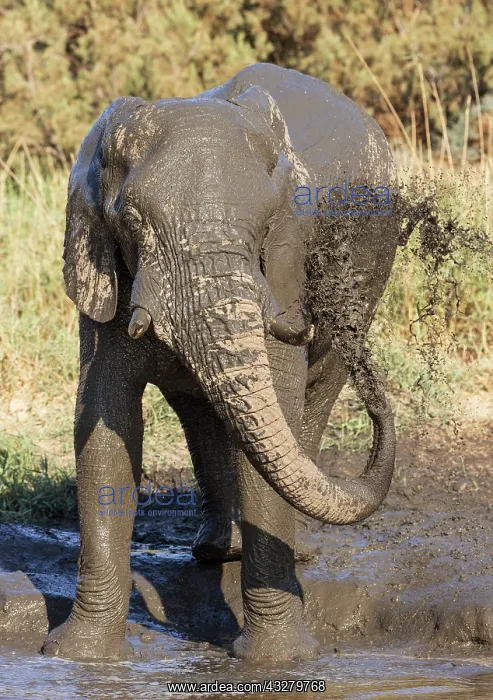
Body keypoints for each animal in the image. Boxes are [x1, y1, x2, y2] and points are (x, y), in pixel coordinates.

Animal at [41, 63, 401, 662]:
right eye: (131, 219)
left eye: (270, 221)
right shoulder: (102, 269)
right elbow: (104, 420)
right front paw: (78, 658)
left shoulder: (284, 264)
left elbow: (275, 410)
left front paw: (279, 661)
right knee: (202, 411)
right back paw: (216, 550)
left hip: (373, 265)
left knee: (312, 398)